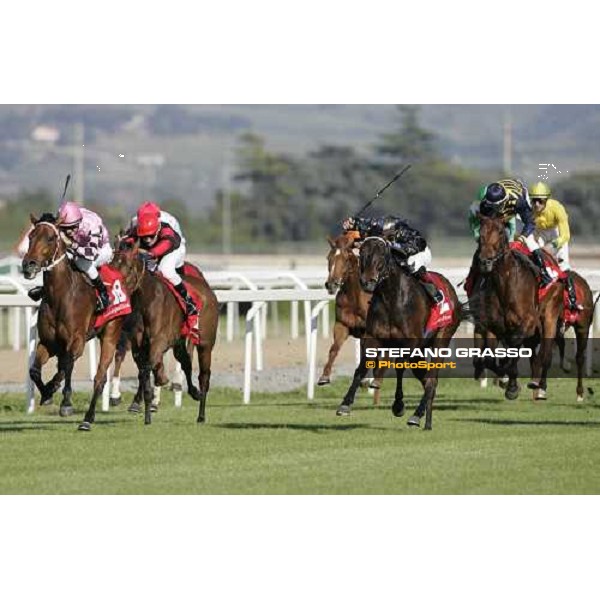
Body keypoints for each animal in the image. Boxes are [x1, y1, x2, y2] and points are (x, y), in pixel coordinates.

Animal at [21, 213, 129, 428]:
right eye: (30, 236)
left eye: (50, 238)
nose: (28, 264)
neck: (60, 295)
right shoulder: (48, 343)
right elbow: (35, 370)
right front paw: (47, 392)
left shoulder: (76, 341)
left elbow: (67, 365)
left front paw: (65, 403)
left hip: (110, 334)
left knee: (99, 378)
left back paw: (87, 419)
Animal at [112, 245, 218, 426]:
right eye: (111, 265)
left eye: (129, 267)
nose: (116, 289)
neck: (147, 301)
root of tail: (207, 289)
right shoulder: (138, 346)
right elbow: (143, 371)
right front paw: (146, 413)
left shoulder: (159, 341)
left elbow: (148, 368)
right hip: (179, 341)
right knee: (186, 362)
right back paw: (193, 392)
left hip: (205, 343)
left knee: (204, 376)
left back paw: (201, 415)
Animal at [322, 234, 382, 404]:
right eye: (328, 258)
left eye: (346, 258)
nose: (331, 284)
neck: (355, 296)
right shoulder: (342, 325)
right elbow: (334, 349)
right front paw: (324, 376)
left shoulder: (369, 332)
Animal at [338, 237, 460, 428]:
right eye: (362, 254)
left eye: (382, 255)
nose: (368, 282)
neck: (392, 299)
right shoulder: (372, 338)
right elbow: (361, 368)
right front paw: (345, 404)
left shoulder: (409, 343)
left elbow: (399, 368)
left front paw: (398, 405)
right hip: (420, 351)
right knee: (427, 380)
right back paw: (426, 422)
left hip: (442, 339)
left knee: (432, 379)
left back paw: (416, 416)